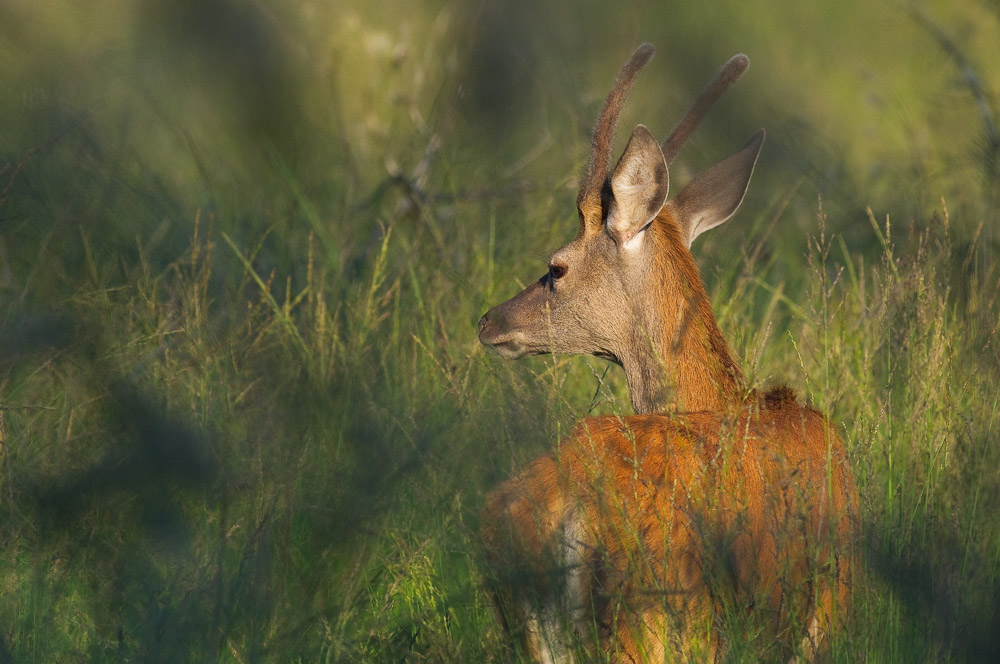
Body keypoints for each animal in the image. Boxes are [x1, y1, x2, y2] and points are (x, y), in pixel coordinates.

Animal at [478, 44, 860, 660]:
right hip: (658, 616)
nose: (488, 321)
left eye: (555, 268)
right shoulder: (830, 612)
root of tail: (566, 498)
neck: (729, 398)